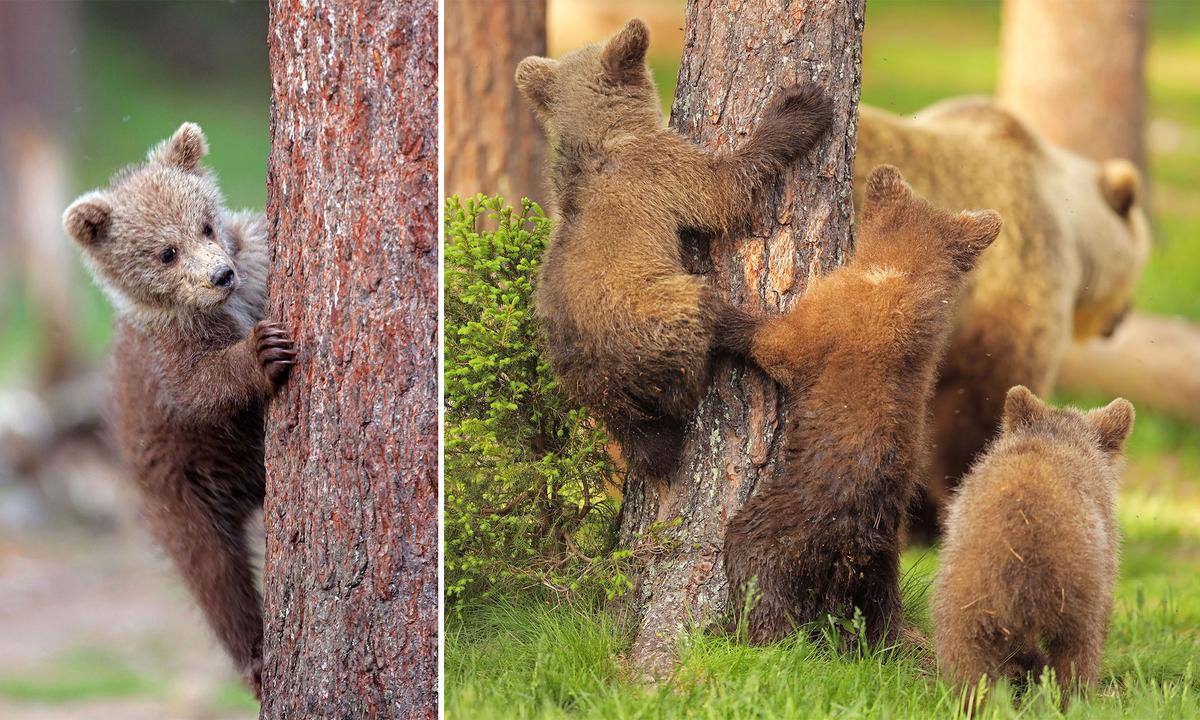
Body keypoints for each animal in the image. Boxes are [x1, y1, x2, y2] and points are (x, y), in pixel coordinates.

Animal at [62, 123, 293, 698]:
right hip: (179, 492)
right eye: (166, 252)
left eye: (206, 224)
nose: (220, 276)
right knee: (214, 575)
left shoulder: (255, 262)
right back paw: (256, 658)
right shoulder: (169, 356)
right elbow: (200, 385)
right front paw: (263, 351)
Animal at [515, 18, 833, 477]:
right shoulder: (661, 169)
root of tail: (599, 378)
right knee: (695, 322)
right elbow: (722, 193)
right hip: (651, 315)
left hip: (578, 377)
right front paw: (800, 108)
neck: (603, 138)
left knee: (643, 435)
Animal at [723, 165, 1003, 647]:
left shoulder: (831, 315)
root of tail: (853, 544)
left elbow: (778, 344)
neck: (901, 278)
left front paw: (714, 311)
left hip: (789, 521)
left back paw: (759, 634)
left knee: (753, 560)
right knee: (879, 613)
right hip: (882, 563)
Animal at [933, 386, 1133, 710]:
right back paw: (1071, 701)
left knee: (967, 660)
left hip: (967, 598)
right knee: (1078, 655)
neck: (1056, 440)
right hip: (1075, 592)